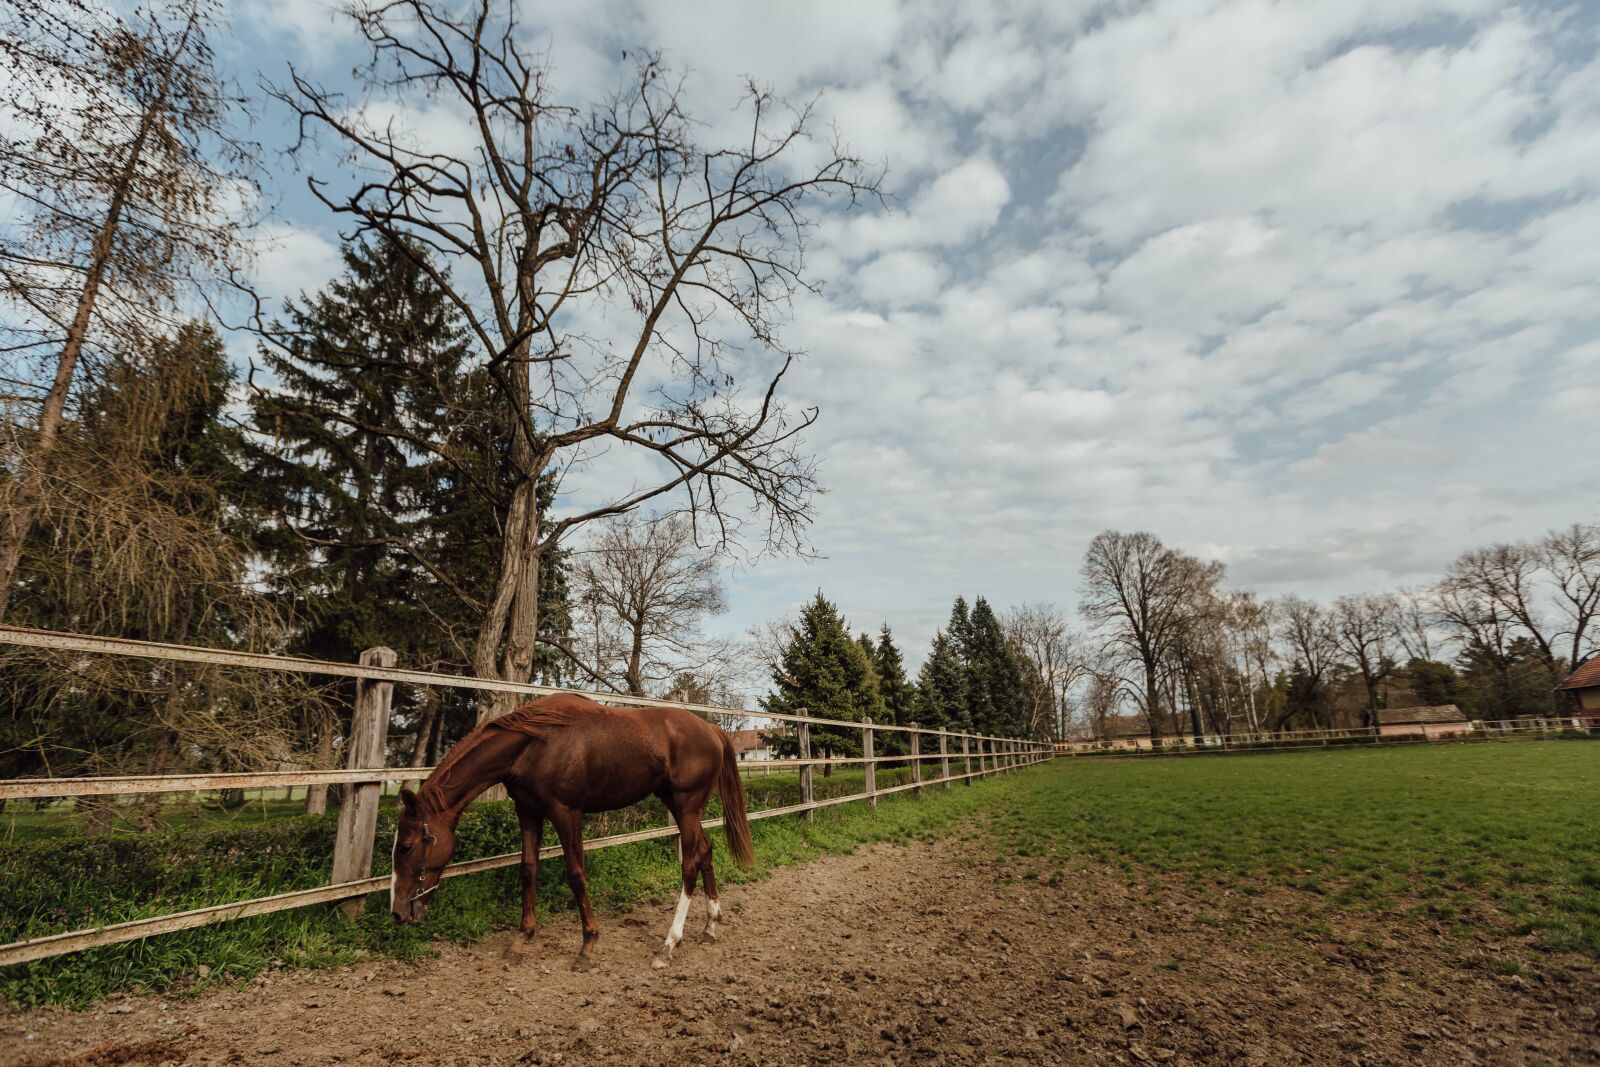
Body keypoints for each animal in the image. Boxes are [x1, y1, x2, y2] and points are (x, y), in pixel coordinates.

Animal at [387, 692, 755, 971]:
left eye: (406, 846)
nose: (398, 912)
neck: (534, 744)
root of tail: (711, 729)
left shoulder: (566, 813)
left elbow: (576, 873)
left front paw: (588, 945)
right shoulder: (528, 812)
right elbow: (528, 869)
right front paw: (521, 939)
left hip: (687, 805)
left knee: (690, 863)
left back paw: (668, 945)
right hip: (678, 805)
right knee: (705, 851)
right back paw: (710, 925)